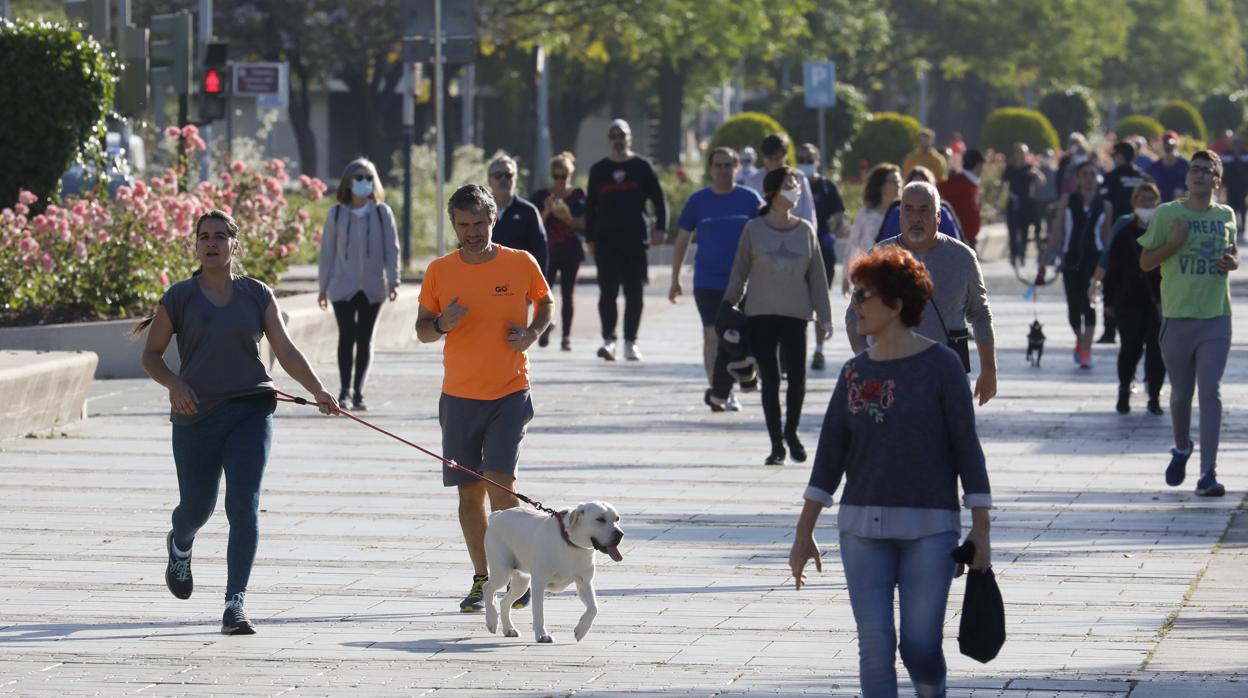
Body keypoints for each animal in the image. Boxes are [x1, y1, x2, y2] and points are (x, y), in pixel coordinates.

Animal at [484, 501, 624, 644]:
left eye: (617, 519)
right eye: (600, 519)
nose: (620, 534)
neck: (572, 545)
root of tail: (497, 514)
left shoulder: (584, 583)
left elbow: (593, 608)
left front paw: (581, 630)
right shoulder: (539, 583)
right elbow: (539, 611)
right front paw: (542, 635)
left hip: (522, 582)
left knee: (504, 602)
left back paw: (509, 629)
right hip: (502, 572)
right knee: (487, 588)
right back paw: (492, 621)